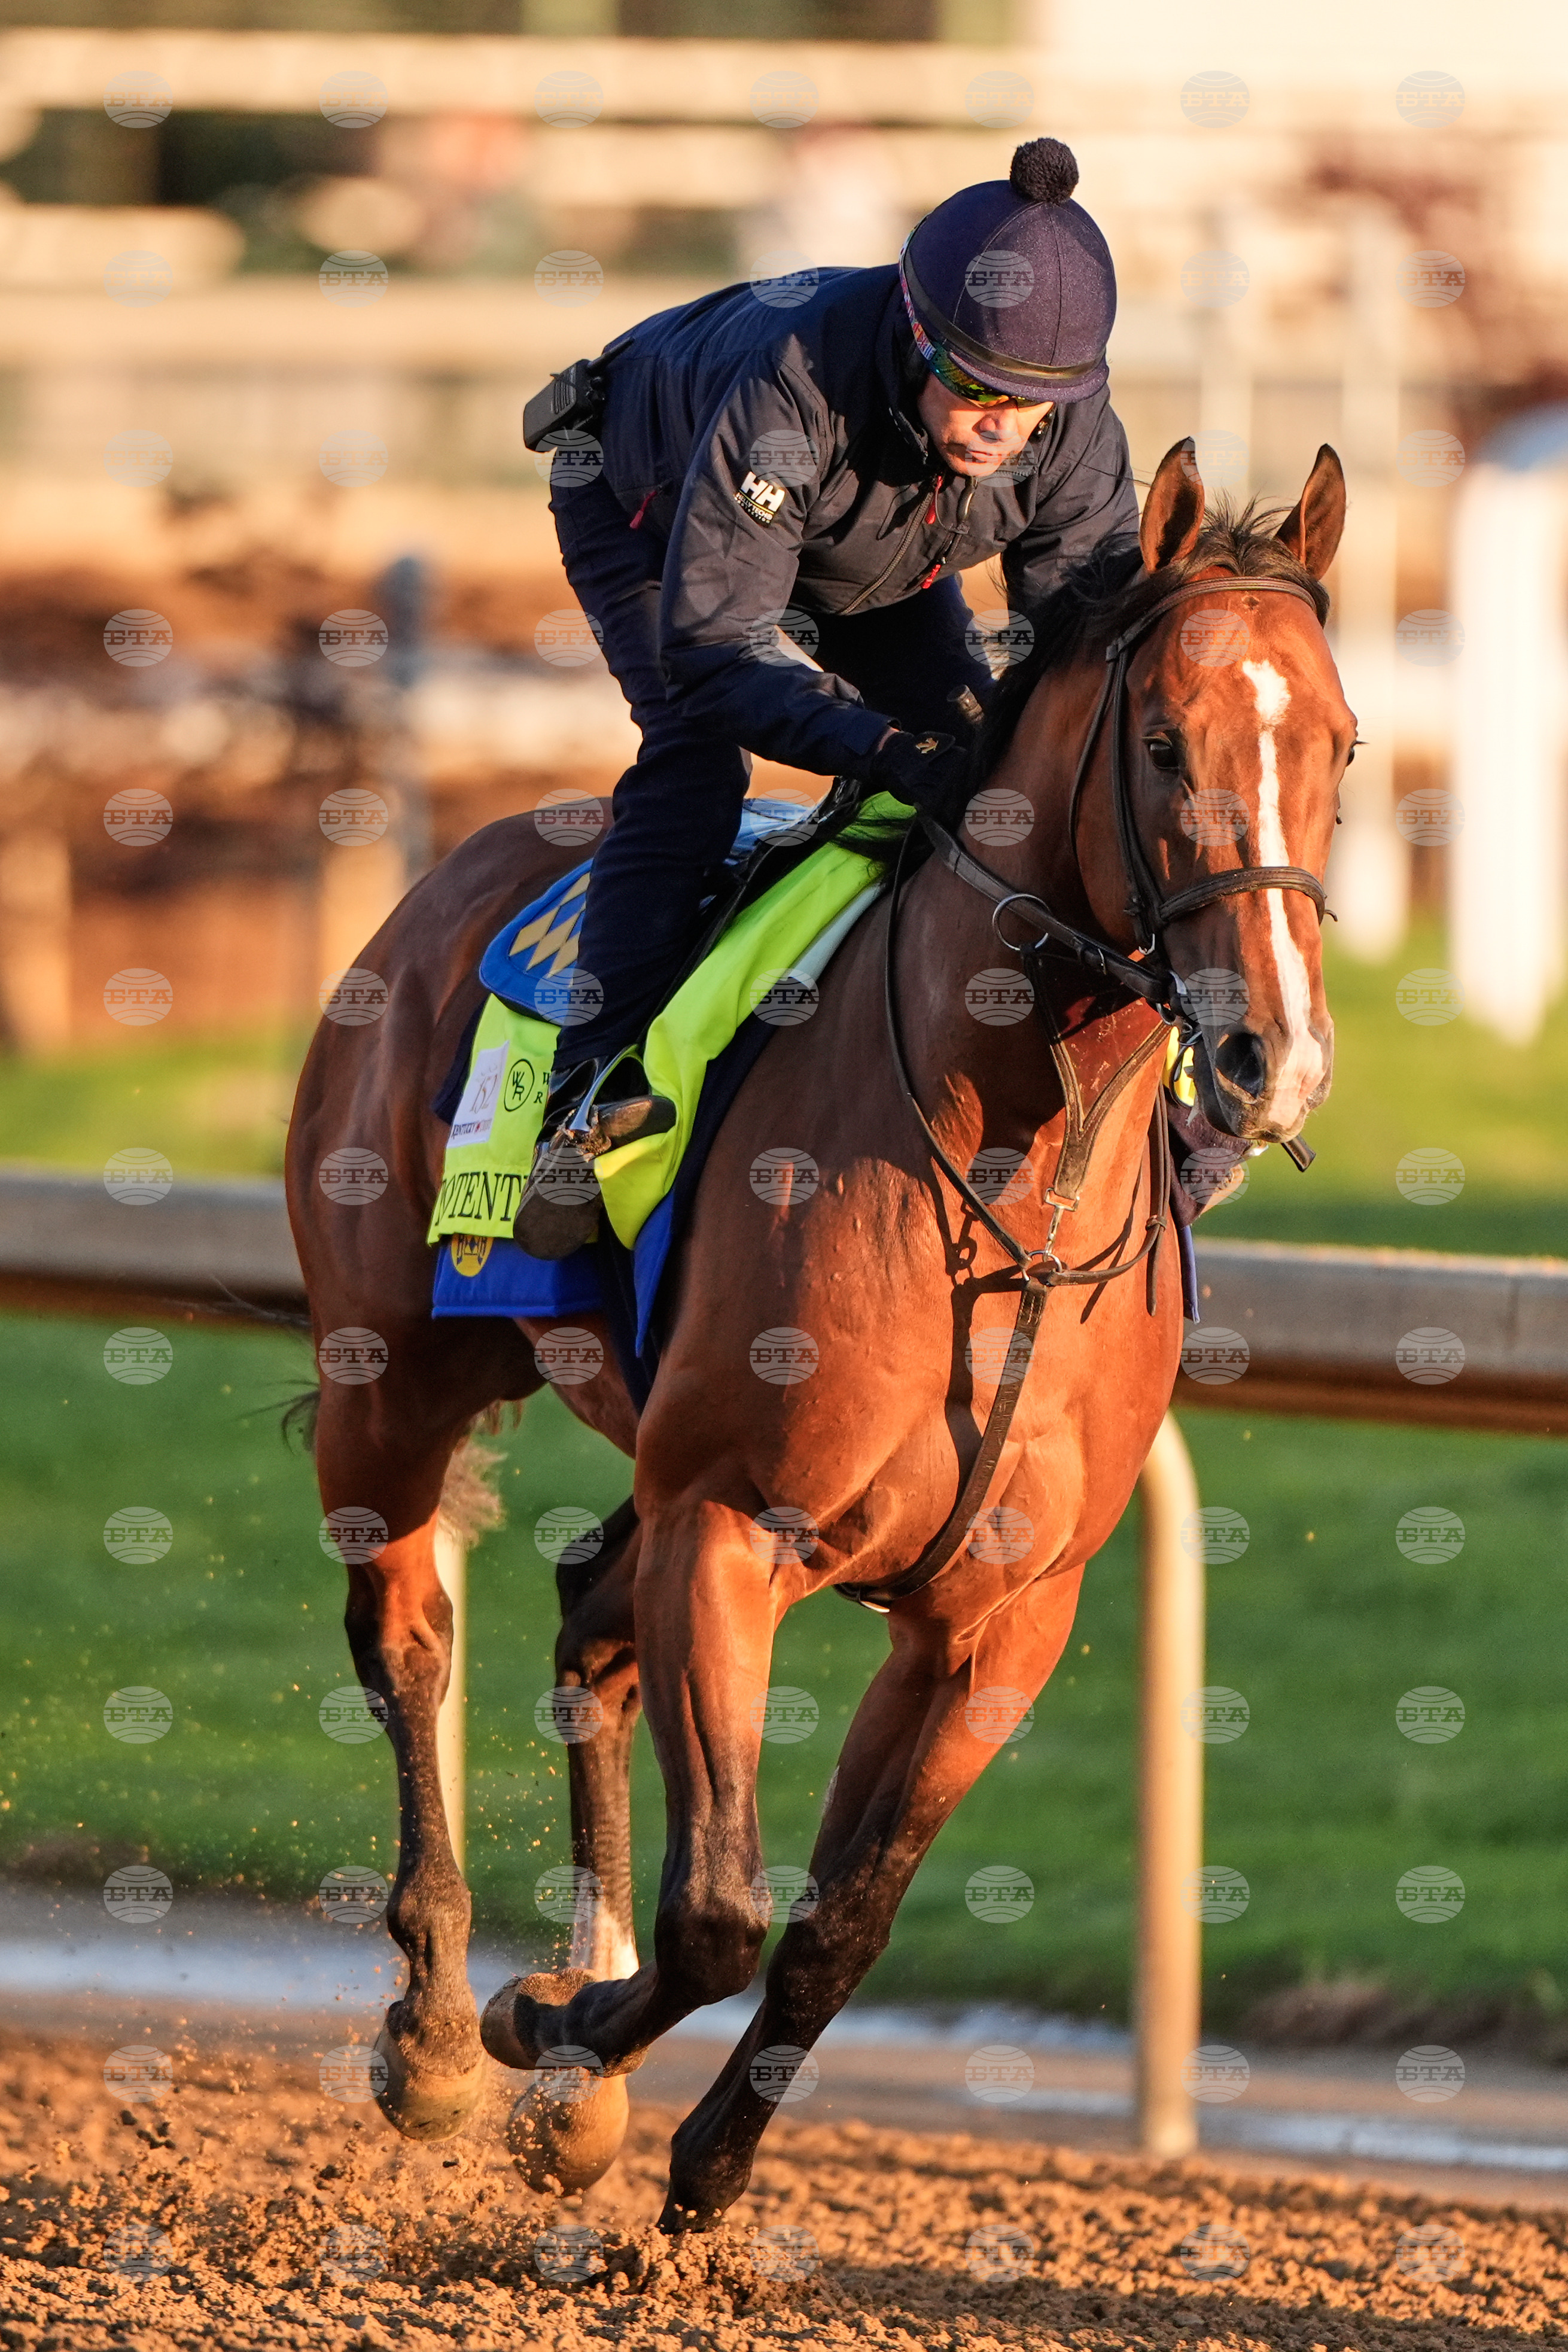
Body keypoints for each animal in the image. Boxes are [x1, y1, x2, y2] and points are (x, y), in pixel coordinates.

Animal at [283, 436, 1351, 2231]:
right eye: (1159, 743)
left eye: (1336, 744)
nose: (1271, 1055)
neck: (1007, 1180)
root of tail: (448, 871)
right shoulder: (731, 1523)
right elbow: (721, 1905)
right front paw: (545, 2032)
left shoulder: (994, 1620)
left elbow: (841, 1920)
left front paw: (688, 2156)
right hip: (393, 1372)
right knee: (408, 1633)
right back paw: (433, 2024)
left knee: (584, 1607)